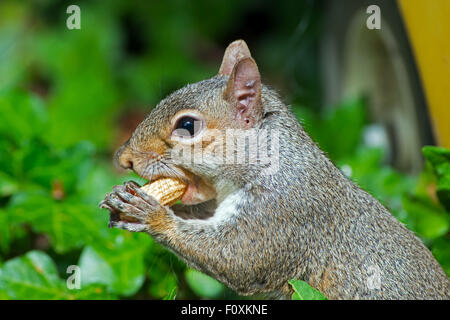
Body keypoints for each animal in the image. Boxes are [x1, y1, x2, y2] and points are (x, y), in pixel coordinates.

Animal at [100, 40, 450, 300]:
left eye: (187, 125)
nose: (123, 158)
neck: (269, 163)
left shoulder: (282, 214)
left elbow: (236, 258)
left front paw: (149, 213)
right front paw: (122, 195)